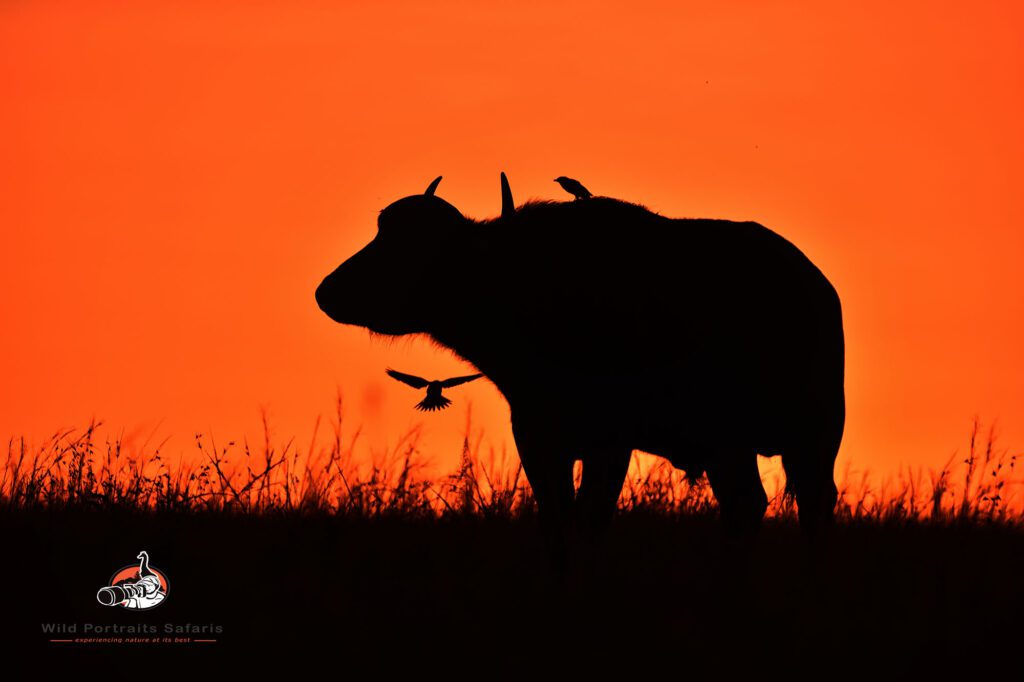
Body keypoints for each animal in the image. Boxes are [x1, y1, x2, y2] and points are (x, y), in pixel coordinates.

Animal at [315, 174, 843, 540]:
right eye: (382, 232)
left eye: (416, 249)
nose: (328, 291)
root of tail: (816, 286)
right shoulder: (537, 436)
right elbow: (556, 520)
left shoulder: (609, 441)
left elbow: (591, 519)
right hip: (731, 446)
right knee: (747, 504)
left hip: (812, 436)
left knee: (811, 506)